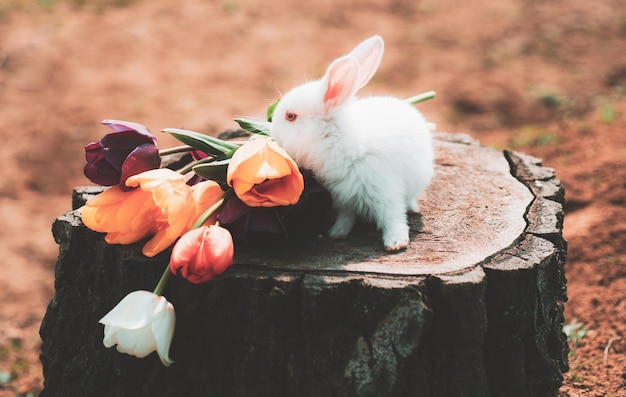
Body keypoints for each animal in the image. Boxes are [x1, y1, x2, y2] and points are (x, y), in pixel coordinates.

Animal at [268, 34, 434, 251]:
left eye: (290, 116)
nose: (272, 133)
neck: (336, 143)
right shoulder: (343, 199)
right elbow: (345, 218)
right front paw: (337, 234)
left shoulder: (386, 192)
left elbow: (394, 217)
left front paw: (396, 243)